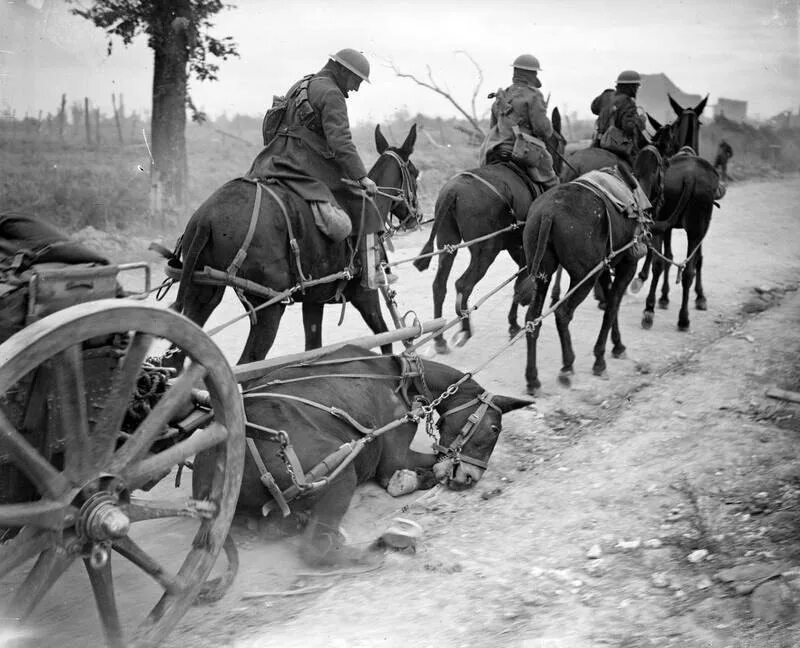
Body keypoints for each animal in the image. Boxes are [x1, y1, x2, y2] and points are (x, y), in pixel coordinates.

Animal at [169, 126, 418, 364]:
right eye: (415, 173)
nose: (416, 215)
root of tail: (205, 218)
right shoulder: (366, 295)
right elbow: (386, 338)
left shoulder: (314, 302)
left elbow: (313, 350)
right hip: (269, 306)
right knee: (248, 361)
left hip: (202, 292)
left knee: (177, 356)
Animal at [191, 346, 536, 564]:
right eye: (494, 428)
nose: (469, 477)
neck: (402, 377)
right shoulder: (395, 457)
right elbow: (418, 468)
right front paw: (417, 478)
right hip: (338, 474)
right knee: (316, 550)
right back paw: (375, 550)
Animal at [412, 111, 564, 354]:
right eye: (560, 141)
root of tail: (453, 191)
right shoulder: (523, 248)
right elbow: (521, 279)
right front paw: (513, 323)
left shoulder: (516, 247)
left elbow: (520, 279)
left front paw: (513, 321)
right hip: (486, 251)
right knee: (463, 284)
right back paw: (464, 329)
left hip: (447, 245)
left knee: (440, 285)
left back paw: (440, 339)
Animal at [520, 146, 664, 394]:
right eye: (663, 170)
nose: (663, 200)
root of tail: (548, 212)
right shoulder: (627, 264)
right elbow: (612, 305)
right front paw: (601, 357)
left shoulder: (604, 268)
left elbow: (609, 299)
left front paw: (617, 345)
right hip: (584, 275)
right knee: (563, 313)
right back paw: (567, 365)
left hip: (543, 271)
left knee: (532, 318)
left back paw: (532, 378)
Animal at [636, 95, 724, 334]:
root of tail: (691, 177)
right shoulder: (699, 226)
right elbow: (686, 258)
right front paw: (692, 296)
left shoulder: (671, 223)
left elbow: (672, 258)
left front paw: (666, 297)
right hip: (694, 226)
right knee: (682, 268)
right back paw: (677, 316)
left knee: (675, 268)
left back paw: (655, 310)